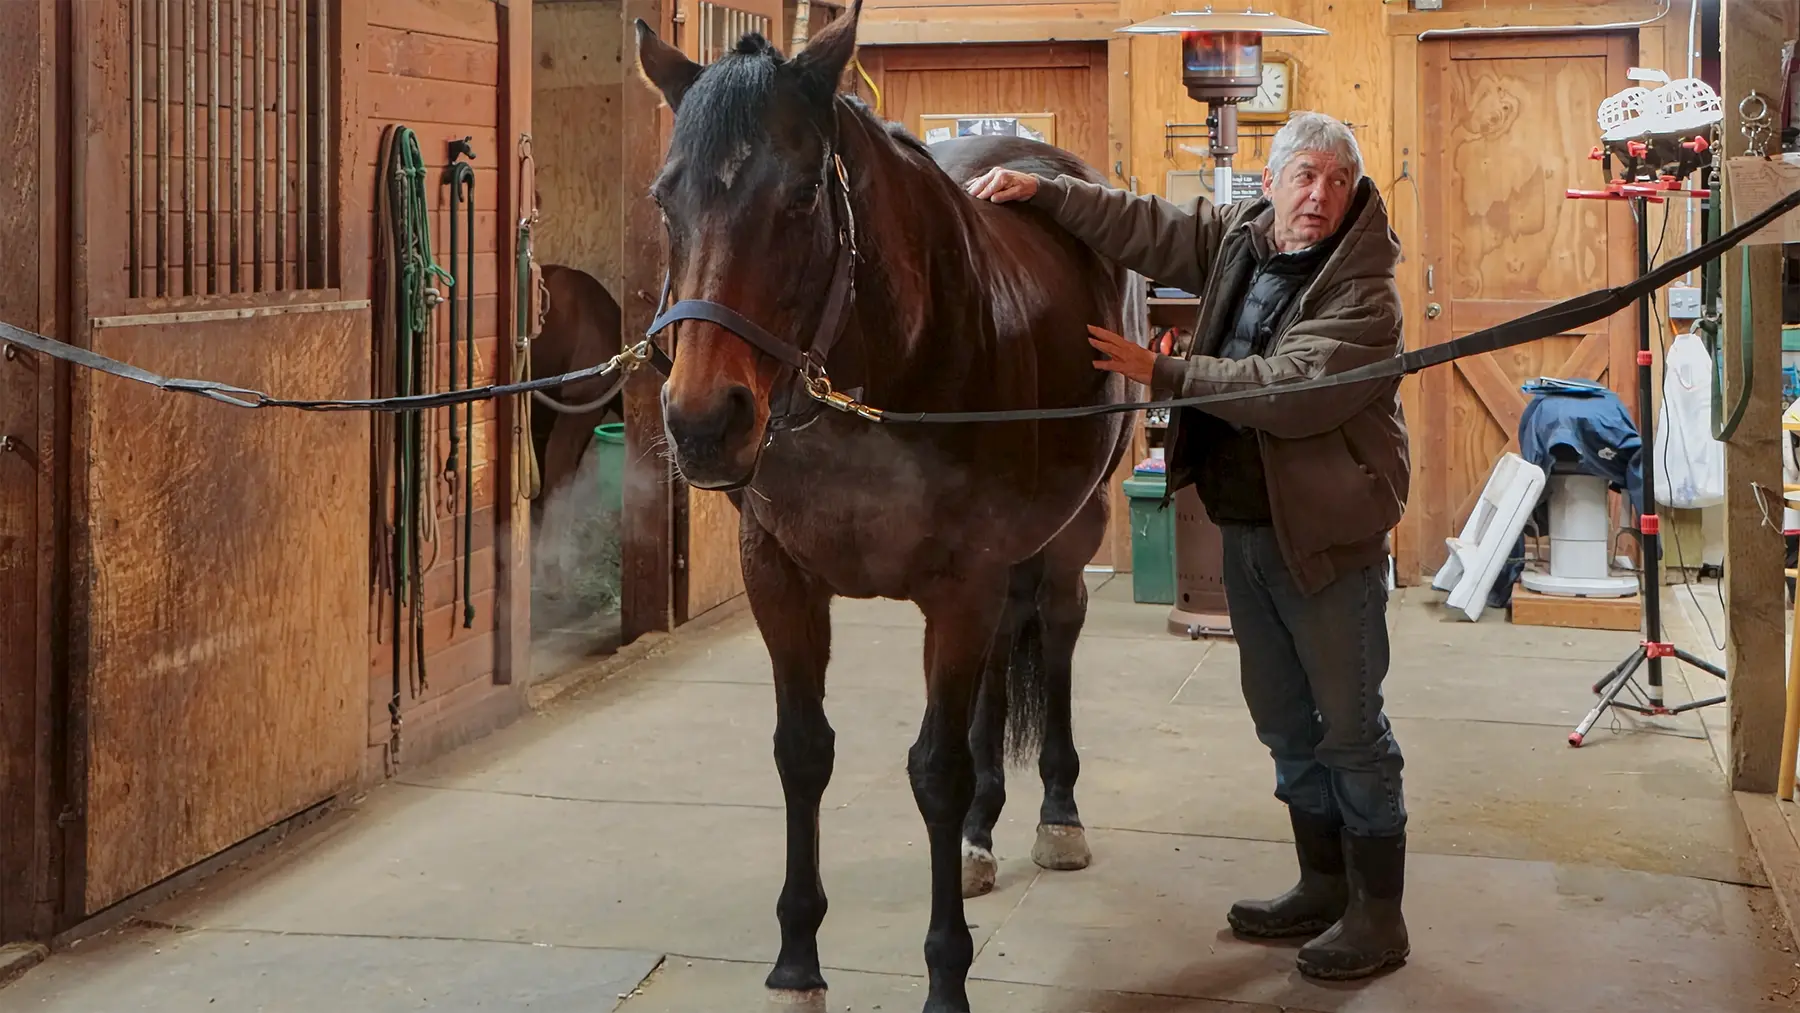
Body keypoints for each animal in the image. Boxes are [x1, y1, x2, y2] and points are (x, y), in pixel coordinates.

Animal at [637, 5, 1123, 1007]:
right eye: (667, 198)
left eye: (802, 195)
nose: (704, 422)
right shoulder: (781, 579)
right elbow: (802, 751)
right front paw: (797, 963)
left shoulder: (961, 583)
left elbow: (935, 769)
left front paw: (945, 976)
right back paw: (980, 837)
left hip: (1071, 531)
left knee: (1057, 630)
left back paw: (1057, 816)